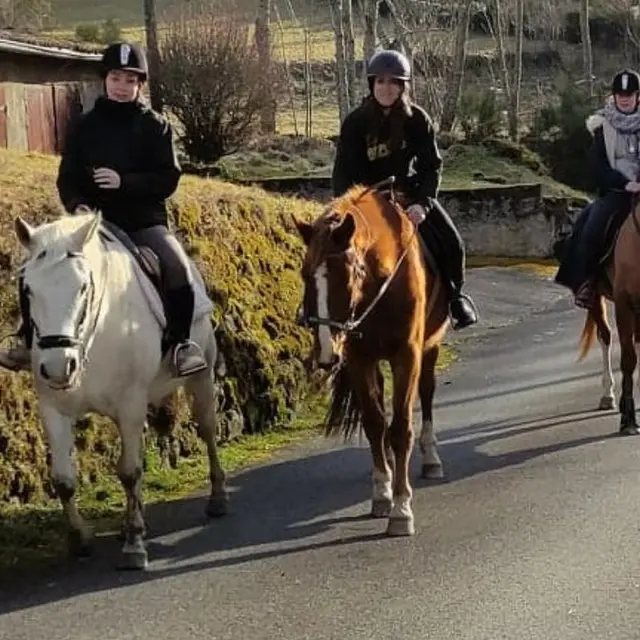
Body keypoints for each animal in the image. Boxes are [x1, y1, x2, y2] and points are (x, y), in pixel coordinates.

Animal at [11, 210, 228, 570]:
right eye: (27, 289)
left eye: (83, 287)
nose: (58, 367)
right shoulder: (54, 408)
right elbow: (64, 480)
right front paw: (79, 540)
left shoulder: (129, 404)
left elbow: (128, 472)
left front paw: (134, 545)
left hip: (201, 376)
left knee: (208, 430)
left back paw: (218, 499)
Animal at [294, 183, 450, 537]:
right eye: (305, 274)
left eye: (347, 274)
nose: (326, 353)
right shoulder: (359, 359)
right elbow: (375, 423)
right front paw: (382, 492)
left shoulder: (407, 355)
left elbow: (401, 428)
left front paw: (402, 509)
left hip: (430, 346)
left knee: (428, 392)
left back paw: (431, 459)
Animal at [578, 195, 640, 436]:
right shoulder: (624, 304)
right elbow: (629, 359)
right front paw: (628, 420)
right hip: (596, 299)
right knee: (605, 336)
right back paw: (608, 395)